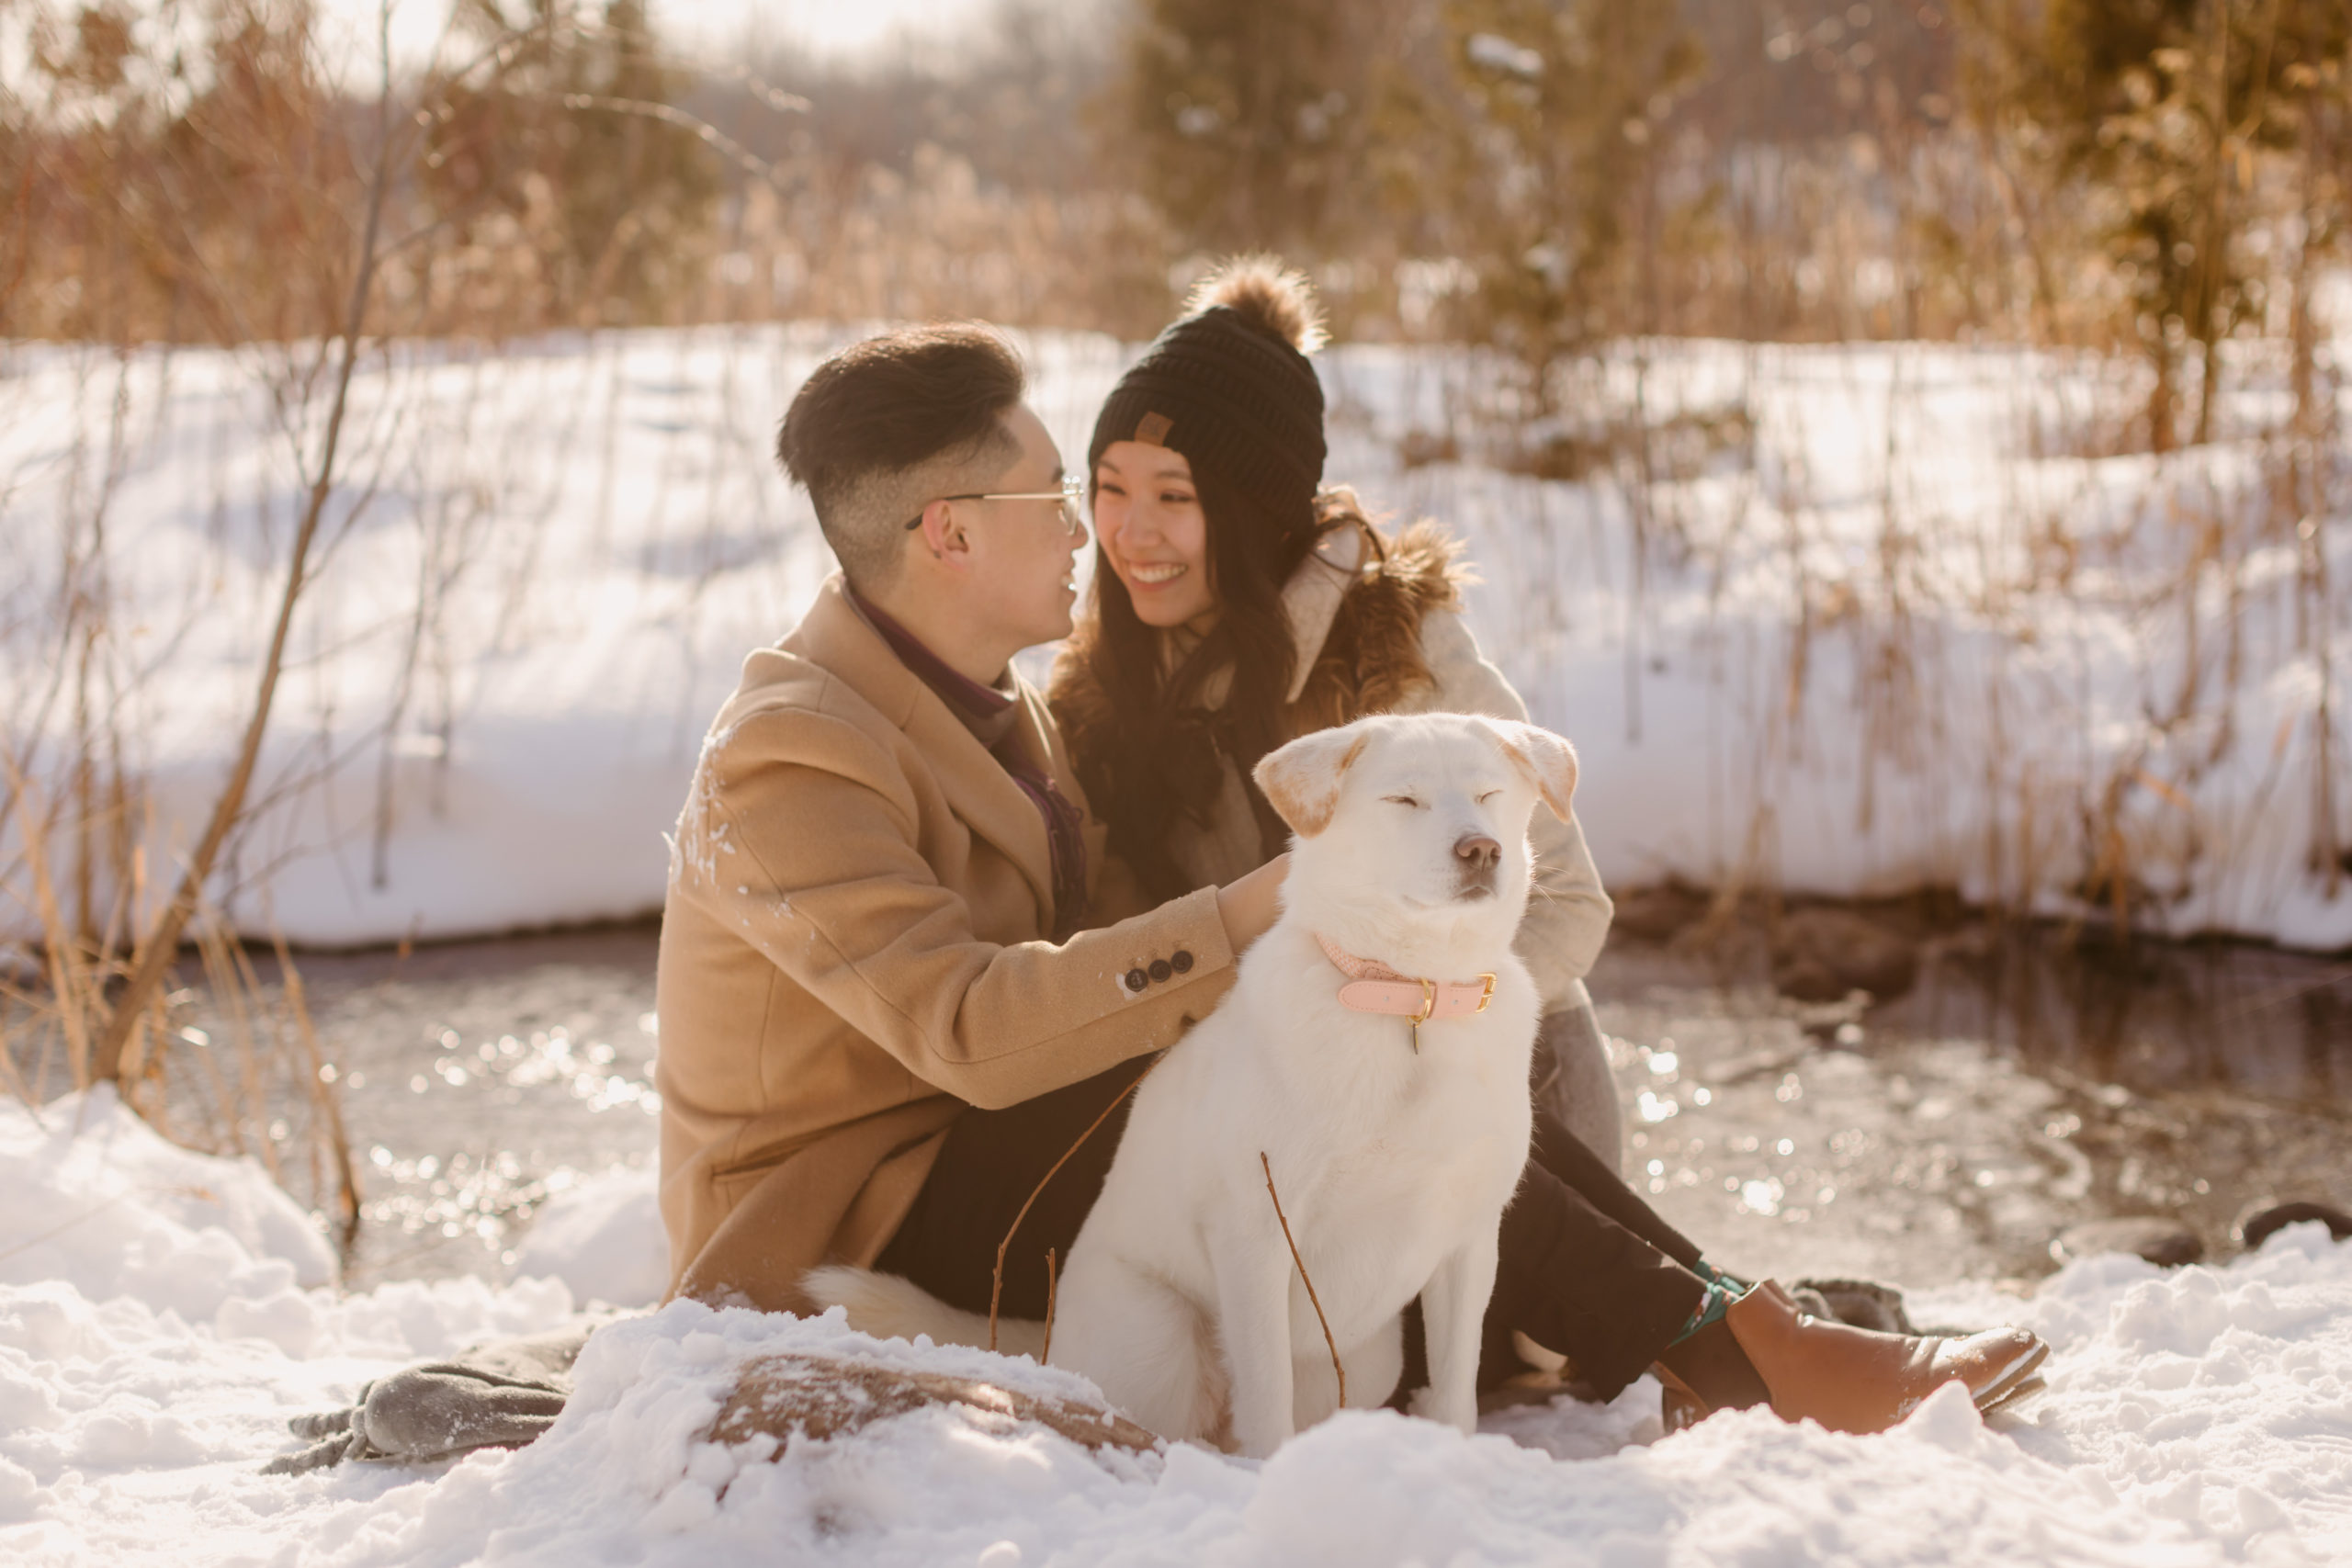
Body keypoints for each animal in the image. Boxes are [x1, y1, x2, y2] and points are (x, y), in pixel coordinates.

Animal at [808, 709, 1580, 1457]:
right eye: (1404, 799)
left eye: (1488, 794)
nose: (1481, 849)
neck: (1409, 1002)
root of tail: (1053, 1340)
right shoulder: (1259, 1232)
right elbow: (1266, 1398)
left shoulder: (1469, 1241)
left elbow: (1455, 1389)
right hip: (1164, 1337)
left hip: (1365, 1360)